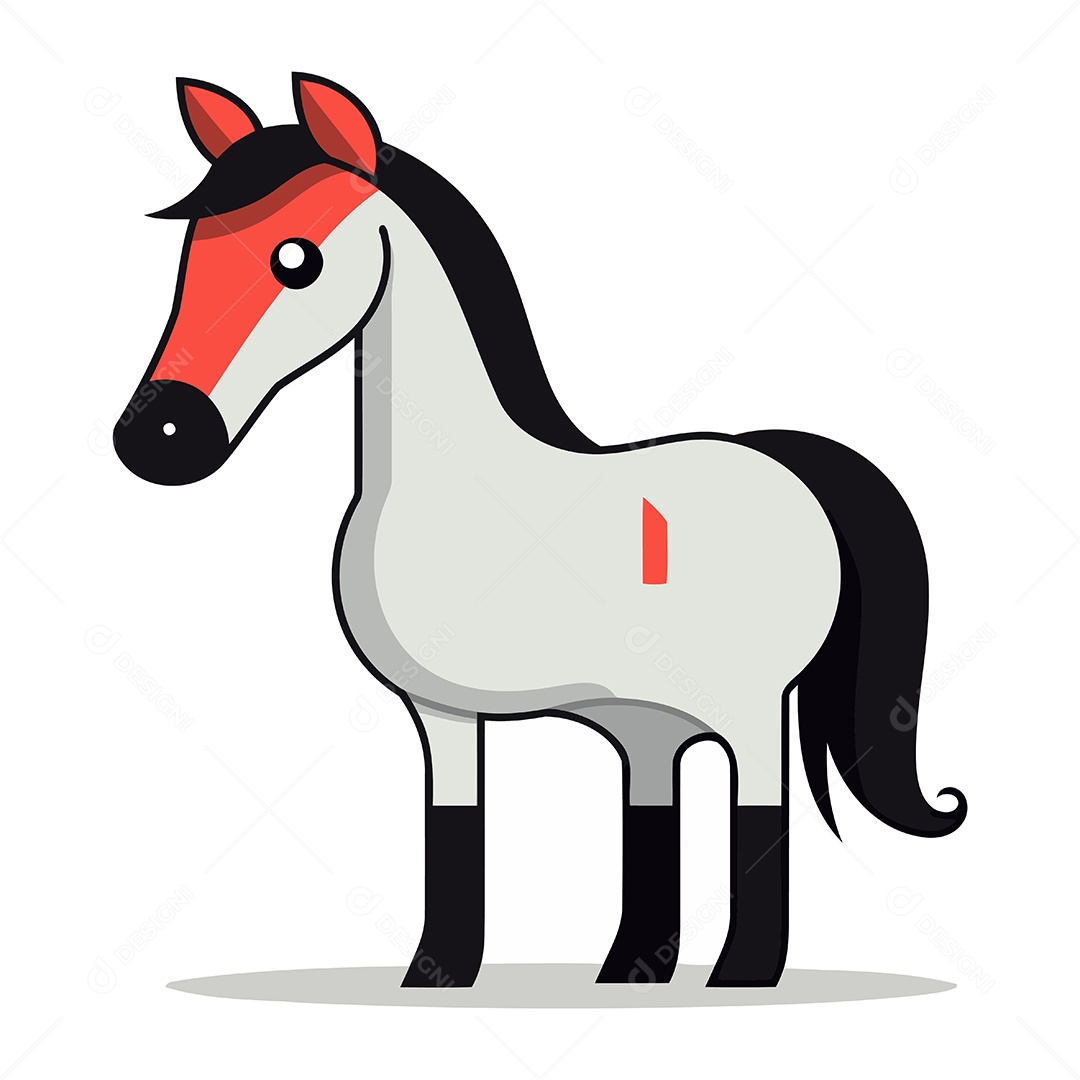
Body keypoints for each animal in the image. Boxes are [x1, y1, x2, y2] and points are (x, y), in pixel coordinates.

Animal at [114, 73, 966, 990]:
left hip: (747, 707)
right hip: (649, 725)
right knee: (650, 816)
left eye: (295, 259)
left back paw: (741, 976)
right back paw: (628, 976)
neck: (449, 485)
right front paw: (434, 979)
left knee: (758, 807)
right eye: (192, 250)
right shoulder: (443, 716)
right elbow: (454, 828)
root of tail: (783, 462)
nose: (158, 437)